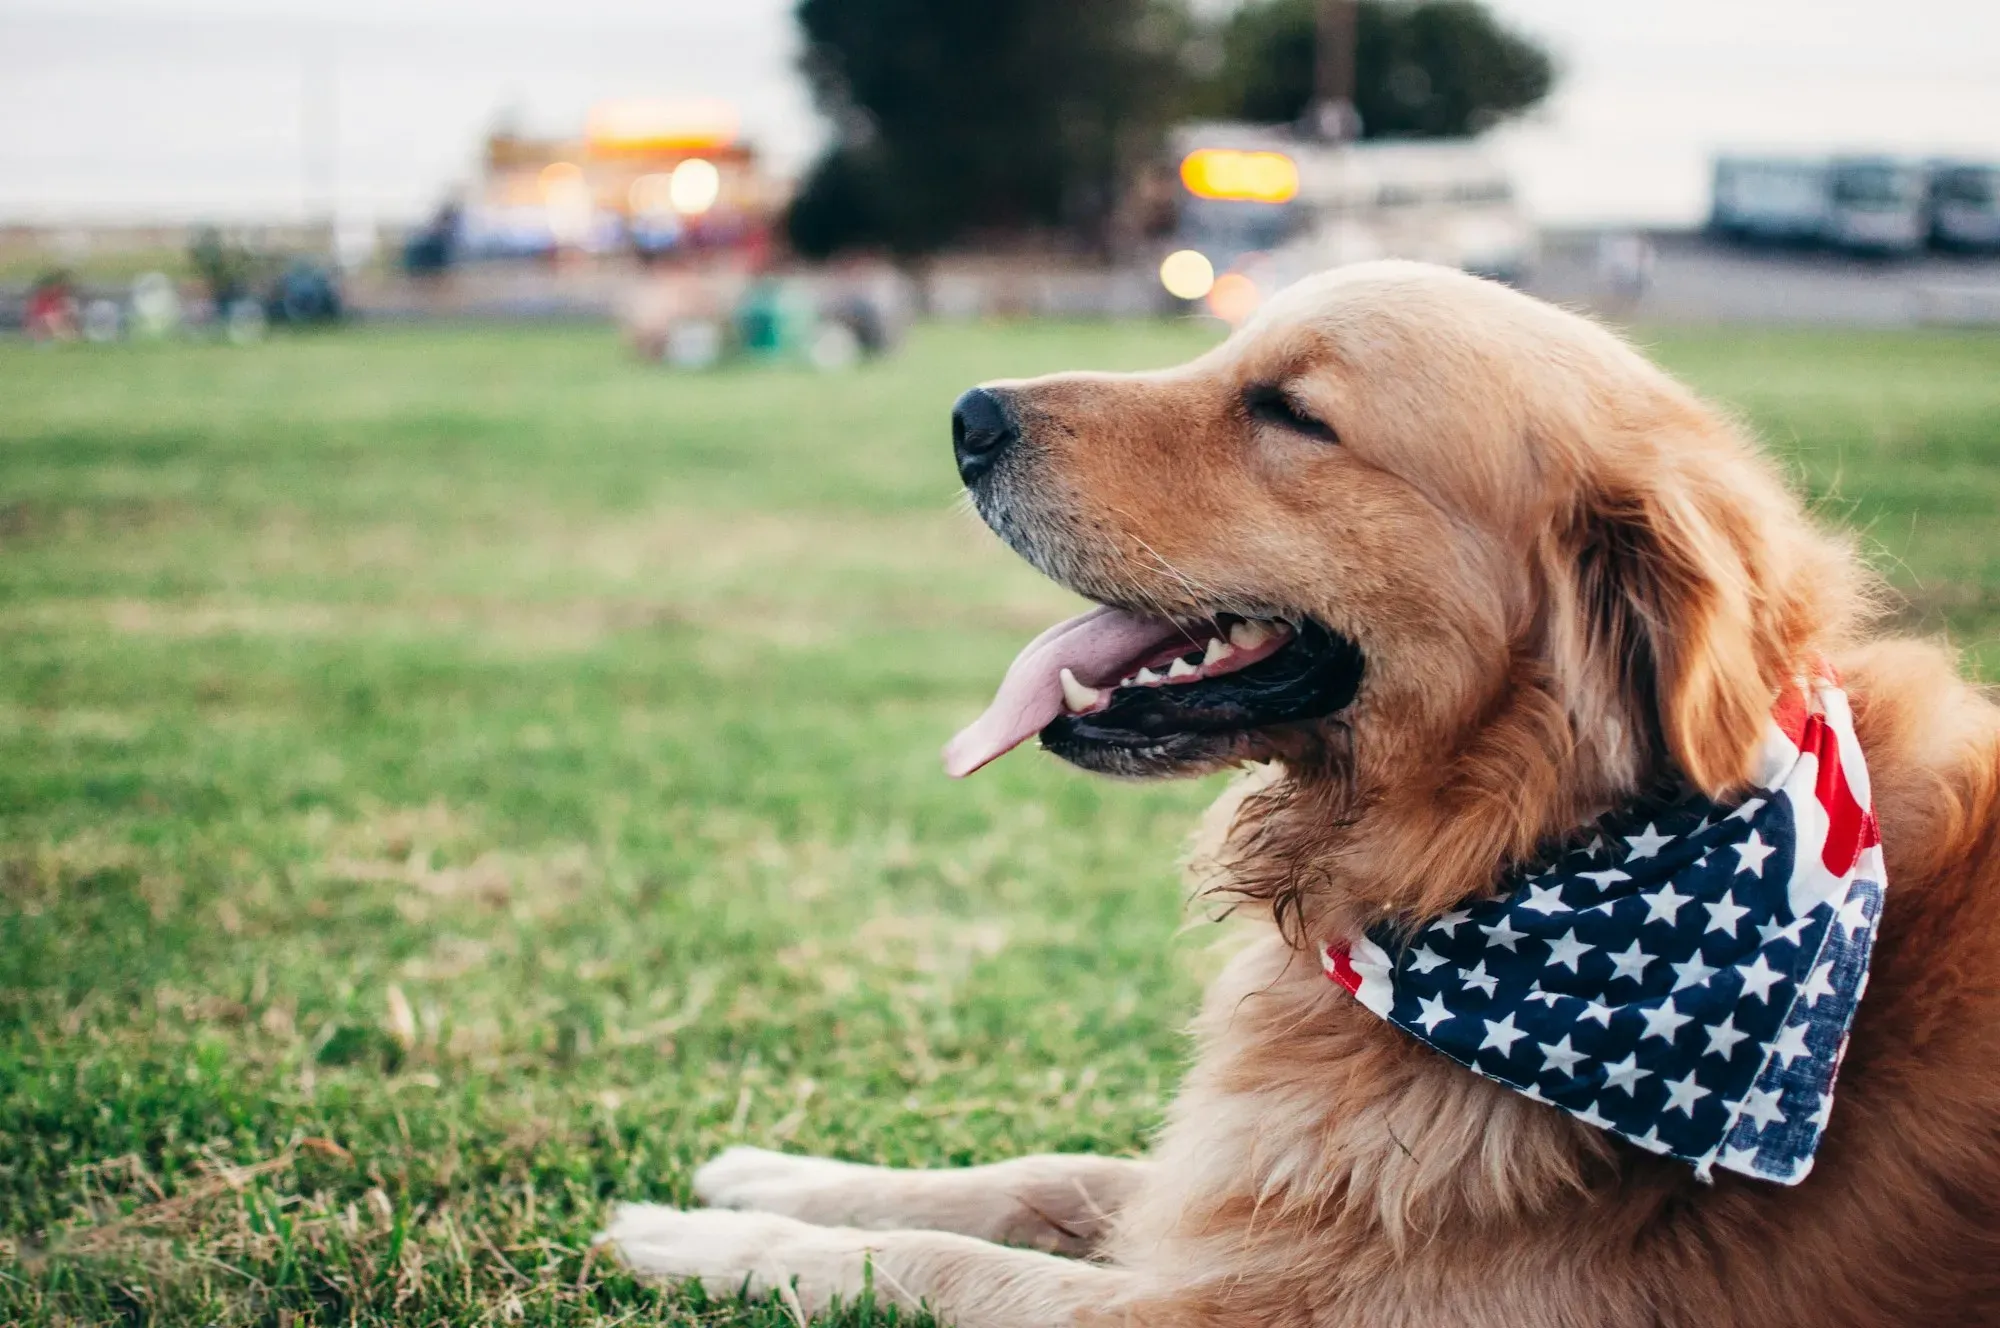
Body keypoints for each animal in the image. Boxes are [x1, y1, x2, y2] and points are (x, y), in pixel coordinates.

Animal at [608, 262, 2000, 1328]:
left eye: (1288, 411)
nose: (966, 414)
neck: (1505, 849)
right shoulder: (1241, 1192)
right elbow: (1027, 1174)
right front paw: (766, 1171)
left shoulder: (1239, 1304)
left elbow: (928, 1260)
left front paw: (688, 1239)